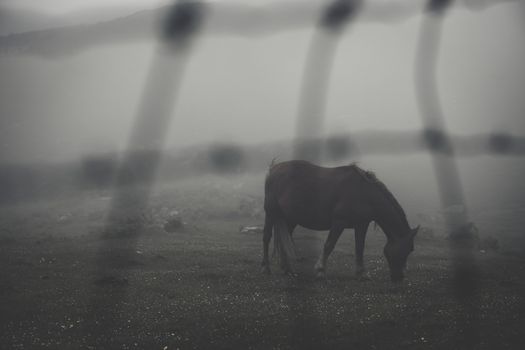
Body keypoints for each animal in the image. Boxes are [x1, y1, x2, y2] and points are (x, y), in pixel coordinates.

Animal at [260, 160, 418, 284]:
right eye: (407, 249)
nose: (399, 277)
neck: (364, 193)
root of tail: (273, 169)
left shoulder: (361, 225)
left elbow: (359, 248)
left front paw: (361, 274)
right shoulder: (339, 222)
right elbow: (329, 245)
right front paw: (320, 271)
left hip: (290, 219)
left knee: (284, 239)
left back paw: (287, 269)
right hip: (271, 213)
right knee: (266, 237)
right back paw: (266, 268)